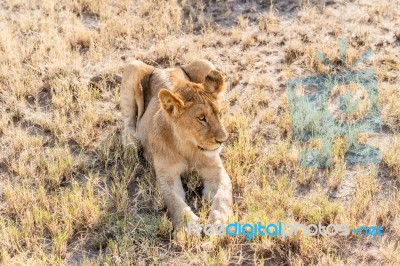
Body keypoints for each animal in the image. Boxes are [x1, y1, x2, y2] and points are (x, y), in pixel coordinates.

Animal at [122, 59, 233, 230]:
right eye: (201, 118)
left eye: (219, 114)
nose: (223, 140)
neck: (188, 146)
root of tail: (164, 69)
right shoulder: (167, 176)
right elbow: (175, 202)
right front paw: (190, 227)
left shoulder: (214, 169)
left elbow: (223, 194)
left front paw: (221, 221)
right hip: (133, 66)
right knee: (128, 121)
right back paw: (131, 145)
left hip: (206, 63)